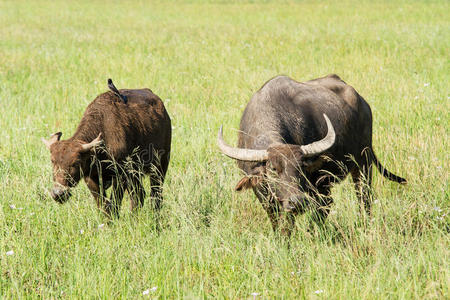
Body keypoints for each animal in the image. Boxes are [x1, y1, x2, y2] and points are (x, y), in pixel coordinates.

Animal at [41, 79, 171, 218]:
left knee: (155, 195)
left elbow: (114, 204)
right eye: (52, 161)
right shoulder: (91, 178)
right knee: (138, 196)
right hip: (136, 174)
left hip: (160, 166)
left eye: (76, 162)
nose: (58, 193)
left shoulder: (120, 177)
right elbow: (103, 205)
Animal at [216, 74, 406, 236]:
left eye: (301, 168)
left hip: (362, 163)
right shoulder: (262, 192)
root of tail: (362, 102)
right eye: (273, 169)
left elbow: (288, 223)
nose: (297, 202)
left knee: (362, 197)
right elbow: (275, 218)